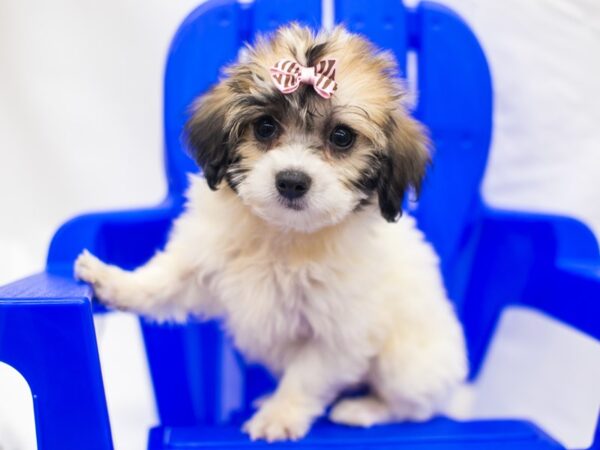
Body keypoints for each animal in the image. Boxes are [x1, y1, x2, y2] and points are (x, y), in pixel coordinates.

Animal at [75, 24, 468, 442]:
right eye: (265, 127)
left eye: (341, 137)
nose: (292, 181)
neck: (284, 235)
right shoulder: (207, 258)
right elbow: (164, 282)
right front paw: (112, 282)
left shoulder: (341, 330)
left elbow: (307, 376)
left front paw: (279, 415)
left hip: (409, 365)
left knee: (415, 407)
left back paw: (365, 408)